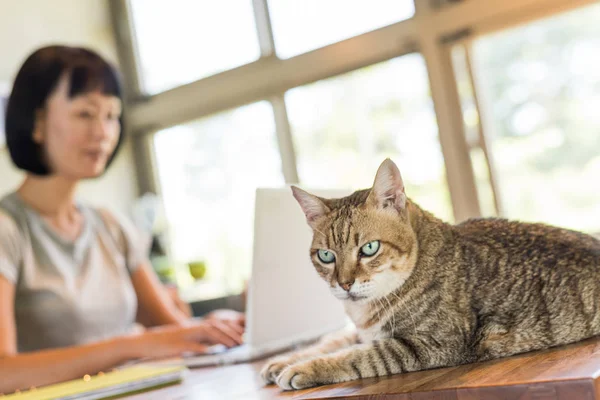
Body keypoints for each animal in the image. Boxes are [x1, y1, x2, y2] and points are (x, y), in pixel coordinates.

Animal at [260, 158, 600, 390]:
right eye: (326, 256)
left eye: (369, 248)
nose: (344, 284)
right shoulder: (364, 330)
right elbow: (333, 341)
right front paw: (280, 360)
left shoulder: (429, 344)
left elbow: (355, 356)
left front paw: (303, 368)